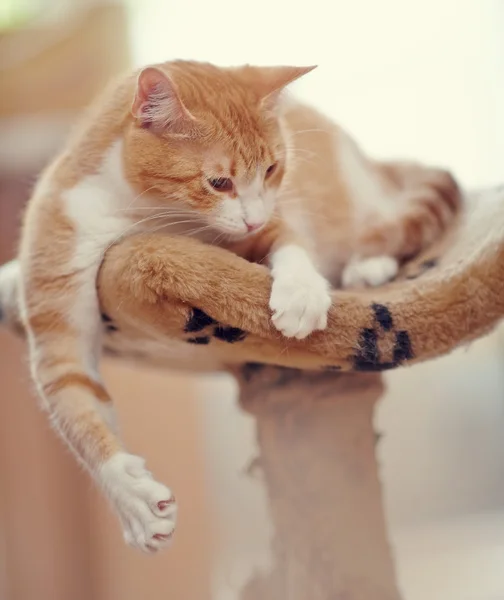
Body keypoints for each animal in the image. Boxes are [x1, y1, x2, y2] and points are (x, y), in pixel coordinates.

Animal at [18, 58, 460, 552]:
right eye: (219, 182)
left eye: (271, 169)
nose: (253, 218)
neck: (138, 214)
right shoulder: (59, 270)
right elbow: (75, 398)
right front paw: (131, 498)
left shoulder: (264, 223)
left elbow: (289, 239)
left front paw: (300, 293)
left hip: (362, 198)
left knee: (392, 219)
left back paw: (370, 263)